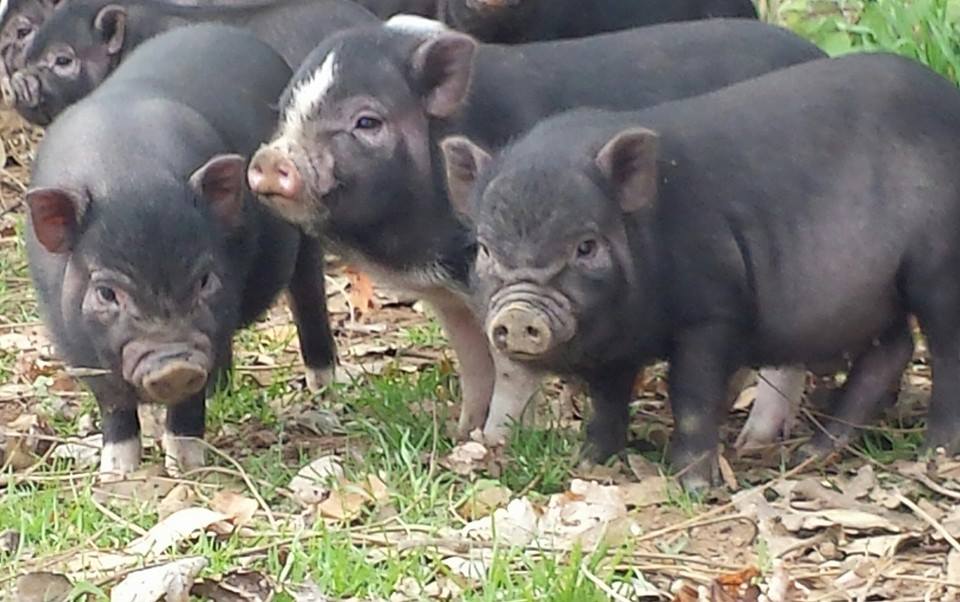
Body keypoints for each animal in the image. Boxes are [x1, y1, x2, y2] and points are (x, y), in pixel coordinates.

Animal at [25, 23, 337, 478]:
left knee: (309, 297)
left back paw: (324, 385)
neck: (129, 173)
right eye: (106, 293)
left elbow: (188, 404)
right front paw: (117, 472)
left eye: (204, 279)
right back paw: (222, 391)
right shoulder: (79, 348)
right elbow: (114, 405)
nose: (173, 364)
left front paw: (185, 467)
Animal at [245, 17, 823, 444]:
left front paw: (491, 443)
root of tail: (816, 54)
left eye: (367, 121)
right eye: (285, 111)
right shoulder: (453, 297)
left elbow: (510, 365)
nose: (270, 161)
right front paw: (461, 432)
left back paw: (753, 439)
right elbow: (473, 360)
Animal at [440, 51, 960, 490]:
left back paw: (934, 452)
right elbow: (607, 402)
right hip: (879, 295)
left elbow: (691, 397)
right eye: (485, 249)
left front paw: (693, 485)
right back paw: (812, 454)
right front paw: (587, 464)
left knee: (943, 351)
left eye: (586, 245)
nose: (518, 313)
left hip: (938, 267)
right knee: (891, 349)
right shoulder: (614, 347)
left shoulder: (713, 314)